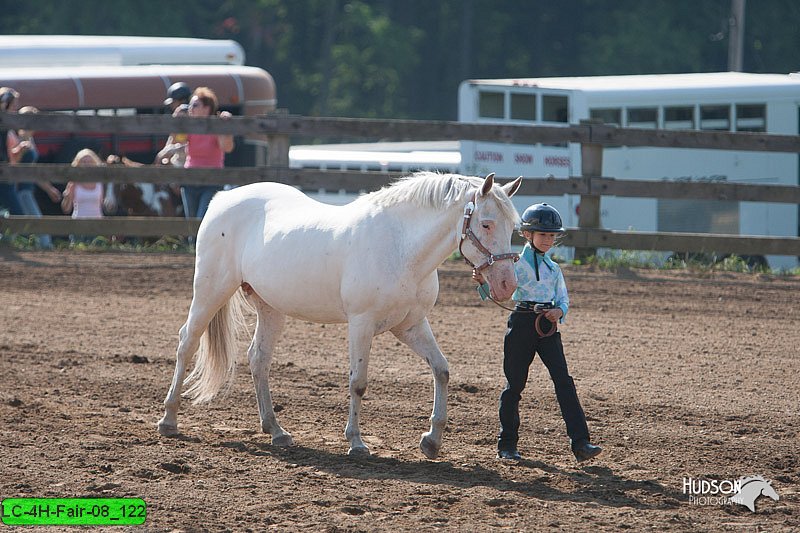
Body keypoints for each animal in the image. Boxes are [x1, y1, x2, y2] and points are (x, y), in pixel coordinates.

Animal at [159, 170, 520, 458]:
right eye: (486, 223)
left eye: (513, 227)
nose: (507, 285)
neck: (401, 248)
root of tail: (223, 198)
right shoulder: (361, 323)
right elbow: (358, 382)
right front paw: (357, 443)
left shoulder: (411, 325)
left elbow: (442, 370)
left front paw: (431, 441)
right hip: (210, 291)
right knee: (187, 343)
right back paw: (168, 420)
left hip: (269, 307)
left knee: (258, 358)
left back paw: (276, 431)